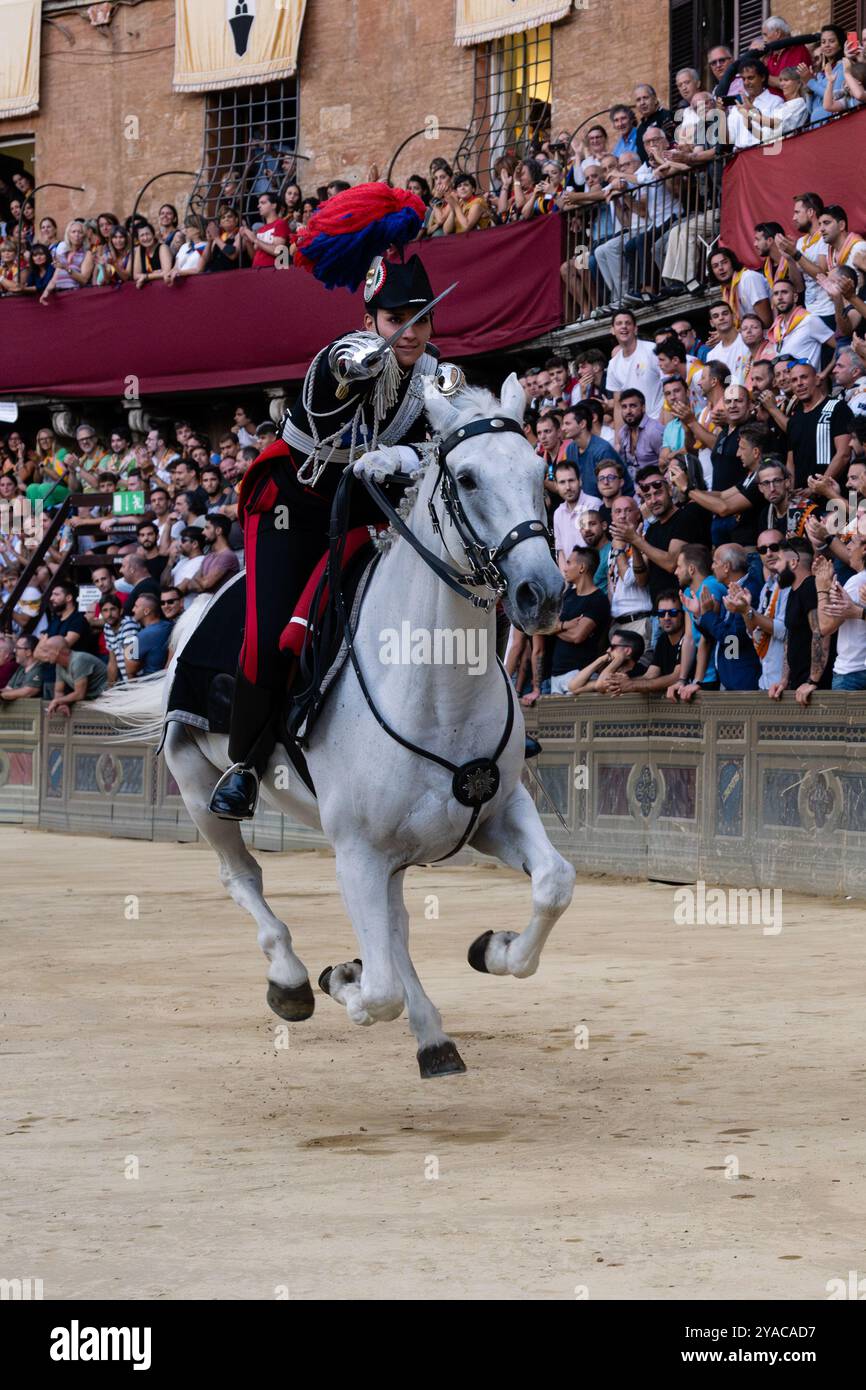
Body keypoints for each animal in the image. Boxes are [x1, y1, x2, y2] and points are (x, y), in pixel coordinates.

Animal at [94, 374, 576, 1078]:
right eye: (465, 478)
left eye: (542, 472)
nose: (542, 594)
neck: (437, 689)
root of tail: (194, 610)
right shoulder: (356, 850)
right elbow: (377, 990)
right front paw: (341, 979)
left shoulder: (495, 811)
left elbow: (553, 885)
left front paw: (491, 948)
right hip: (197, 786)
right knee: (244, 877)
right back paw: (294, 981)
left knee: (396, 926)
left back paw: (433, 1039)